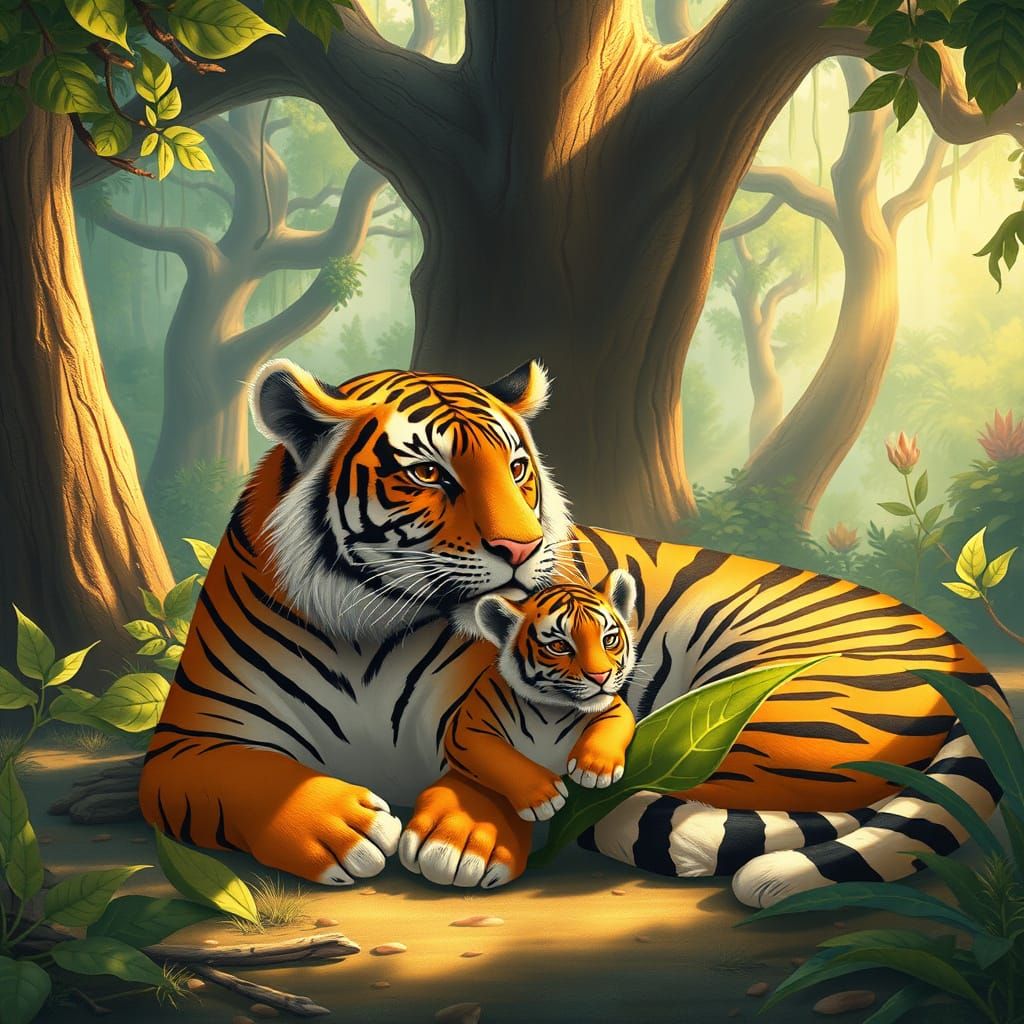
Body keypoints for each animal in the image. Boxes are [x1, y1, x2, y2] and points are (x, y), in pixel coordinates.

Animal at [444, 574, 639, 822]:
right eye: (559, 645)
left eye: (609, 639)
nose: (601, 676)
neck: (551, 711)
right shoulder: (466, 730)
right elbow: (500, 759)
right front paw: (544, 797)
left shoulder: (615, 707)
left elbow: (611, 727)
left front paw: (595, 767)